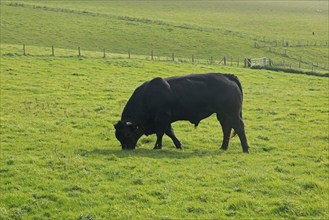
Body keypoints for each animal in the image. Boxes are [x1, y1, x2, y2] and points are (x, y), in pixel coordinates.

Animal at [114, 73, 249, 152]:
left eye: (127, 134)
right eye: (118, 137)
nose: (126, 149)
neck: (147, 97)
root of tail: (229, 76)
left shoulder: (162, 118)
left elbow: (160, 133)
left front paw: (157, 147)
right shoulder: (166, 120)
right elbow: (170, 132)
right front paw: (179, 145)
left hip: (232, 113)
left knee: (239, 128)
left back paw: (245, 149)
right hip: (223, 115)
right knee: (227, 129)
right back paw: (223, 147)